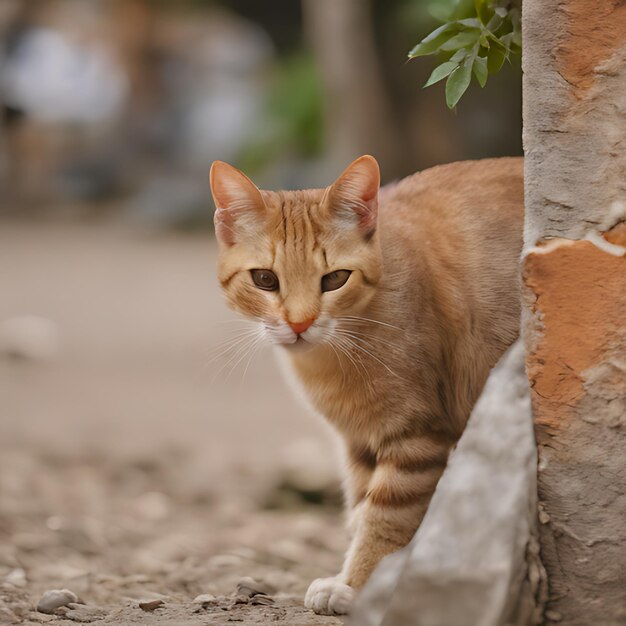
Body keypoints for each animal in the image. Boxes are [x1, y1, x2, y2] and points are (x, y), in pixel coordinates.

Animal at [208, 156, 520, 616]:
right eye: (265, 279)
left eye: (335, 278)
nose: (299, 323)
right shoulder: (358, 443)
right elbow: (358, 513)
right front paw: (352, 577)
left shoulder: (416, 439)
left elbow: (384, 518)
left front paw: (358, 585)